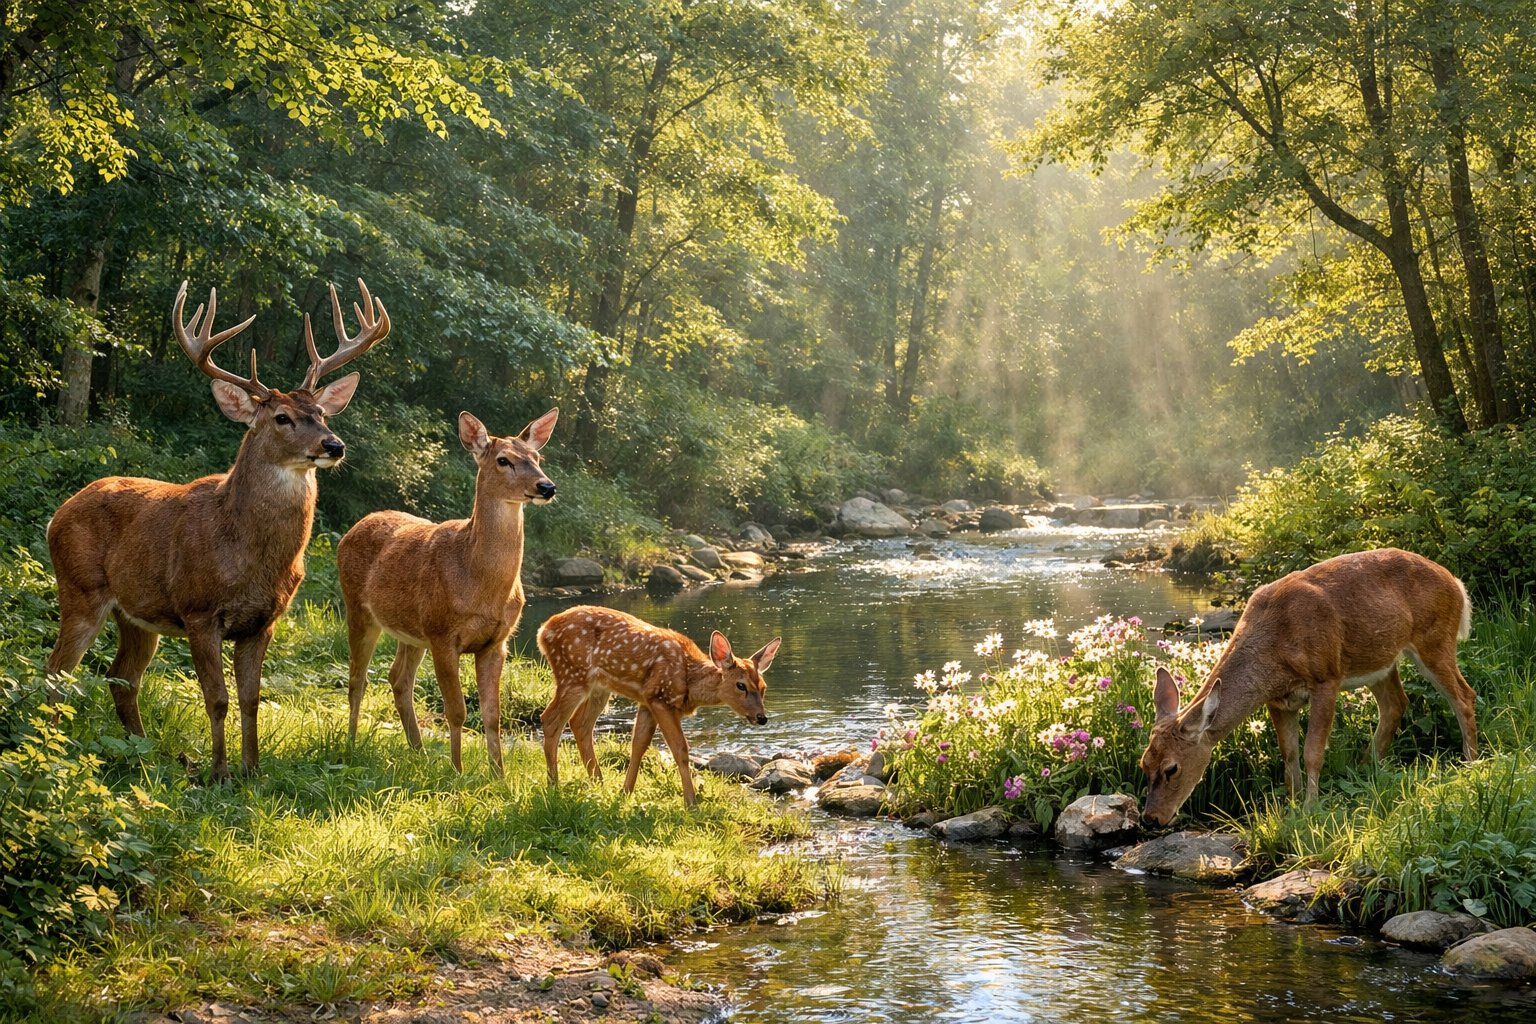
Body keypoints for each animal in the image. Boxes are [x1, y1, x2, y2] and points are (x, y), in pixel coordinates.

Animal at [46, 279, 390, 781]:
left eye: (324, 415)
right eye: (281, 417)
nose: (334, 445)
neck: (247, 554)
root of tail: (58, 513)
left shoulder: (265, 620)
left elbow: (251, 698)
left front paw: (252, 770)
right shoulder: (198, 610)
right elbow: (218, 697)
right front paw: (220, 773)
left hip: (135, 614)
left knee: (122, 677)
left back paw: (143, 754)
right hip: (80, 588)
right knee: (57, 670)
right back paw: (54, 748)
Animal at [337, 409, 558, 774]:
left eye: (537, 458)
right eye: (503, 460)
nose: (547, 486)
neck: (481, 584)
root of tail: (354, 527)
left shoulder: (497, 642)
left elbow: (493, 716)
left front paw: (499, 775)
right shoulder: (442, 634)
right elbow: (456, 711)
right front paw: (457, 770)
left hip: (412, 631)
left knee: (398, 678)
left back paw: (419, 752)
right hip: (358, 608)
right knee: (358, 679)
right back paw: (352, 744)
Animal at [537, 606, 780, 808]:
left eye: (763, 686)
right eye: (741, 685)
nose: (761, 717)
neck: (689, 680)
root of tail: (542, 631)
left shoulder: (647, 701)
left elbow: (639, 745)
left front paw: (625, 792)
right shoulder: (661, 699)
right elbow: (680, 749)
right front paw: (691, 803)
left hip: (599, 688)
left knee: (580, 724)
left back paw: (598, 782)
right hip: (572, 674)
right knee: (550, 719)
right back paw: (554, 785)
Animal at [1140, 547, 1478, 827]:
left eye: (1172, 768)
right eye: (1144, 765)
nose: (1151, 819)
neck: (1273, 656)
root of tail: (1456, 583)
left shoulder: (1327, 677)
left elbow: (1312, 751)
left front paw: (1310, 808)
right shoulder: (1277, 700)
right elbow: (1288, 755)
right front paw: (1291, 807)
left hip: (1435, 638)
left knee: (1464, 696)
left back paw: (1470, 762)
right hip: (1381, 661)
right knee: (1396, 703)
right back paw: (1365, 769)